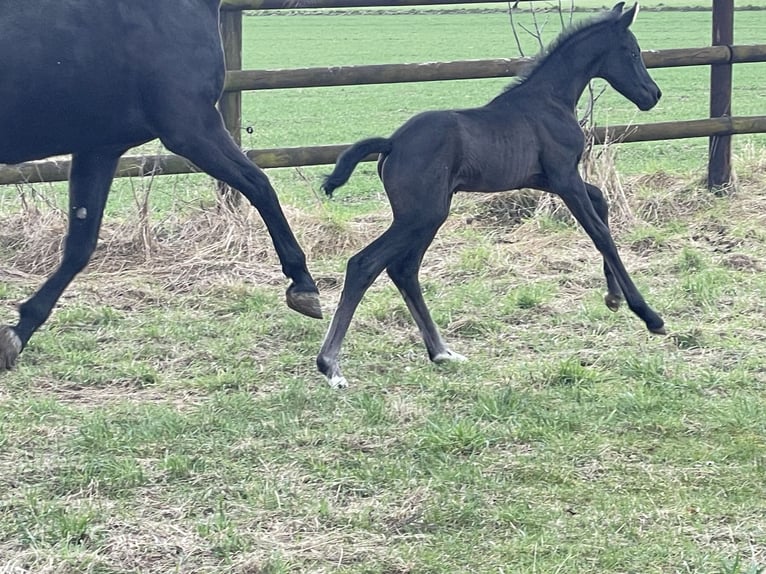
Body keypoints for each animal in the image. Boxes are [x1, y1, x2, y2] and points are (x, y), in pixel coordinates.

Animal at [0, 0, 323, 371]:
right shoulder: (193, 129)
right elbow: (260, 185)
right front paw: (303, 285)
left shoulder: (99, 149)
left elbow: (80, 244)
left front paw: (19, 330)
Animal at [318, 2, 665, 389]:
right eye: (632, 51)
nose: (653, 95)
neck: (550, 100)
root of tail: (392, 142)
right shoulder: (564, 178)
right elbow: (601, 234)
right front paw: (649, 315)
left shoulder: (547, 180)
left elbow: (602, 200)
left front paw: (613, 297)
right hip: (420, 215)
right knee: (364, 264)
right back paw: (331, 366)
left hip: (428, 215)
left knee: (403, 269)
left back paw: (442, 352)